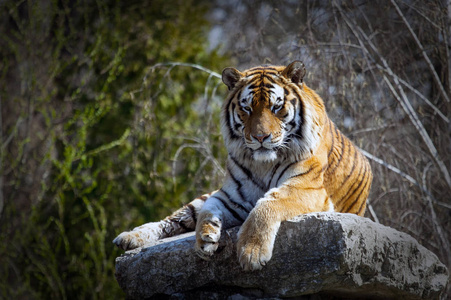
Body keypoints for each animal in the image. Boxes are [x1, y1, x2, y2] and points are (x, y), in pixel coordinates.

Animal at [114, 61, 374, 272]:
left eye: (276, 107)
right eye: (247, 108)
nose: (260, 137)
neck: (263, 164)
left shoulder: (308, 189)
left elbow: (267, 204)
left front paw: (251, 252)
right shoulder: (230, 196)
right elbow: (208, 210)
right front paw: (205, 237)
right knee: (173, 220)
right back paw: (129, 237)